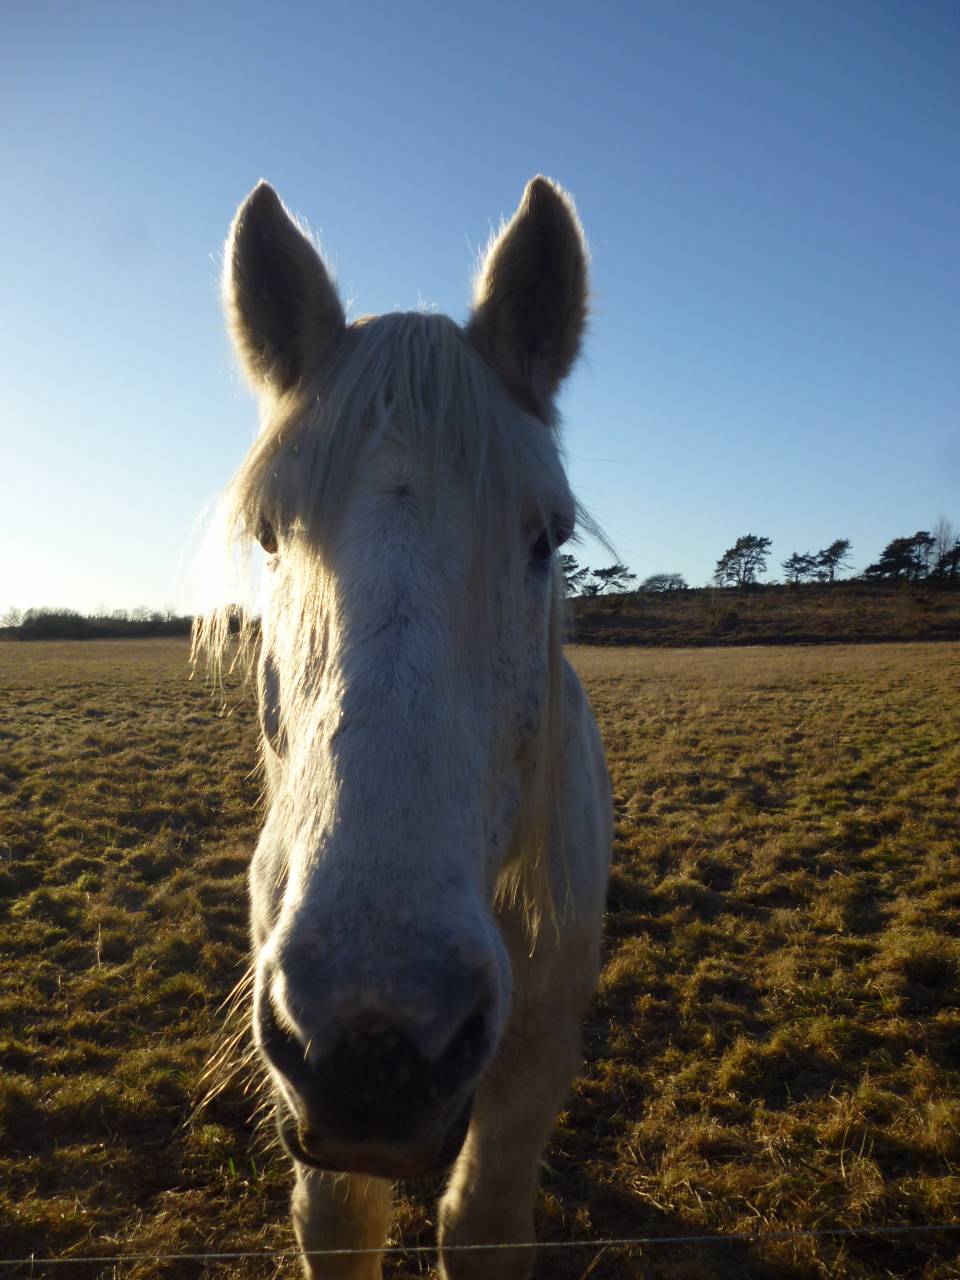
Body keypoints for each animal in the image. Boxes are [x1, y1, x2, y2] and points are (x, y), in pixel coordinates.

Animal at [200, 176, 612, 1279]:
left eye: (546, 538)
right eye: (268, 535)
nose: (374, 1045)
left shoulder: (537, 1056)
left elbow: (482, 1221)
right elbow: (340, 1223)